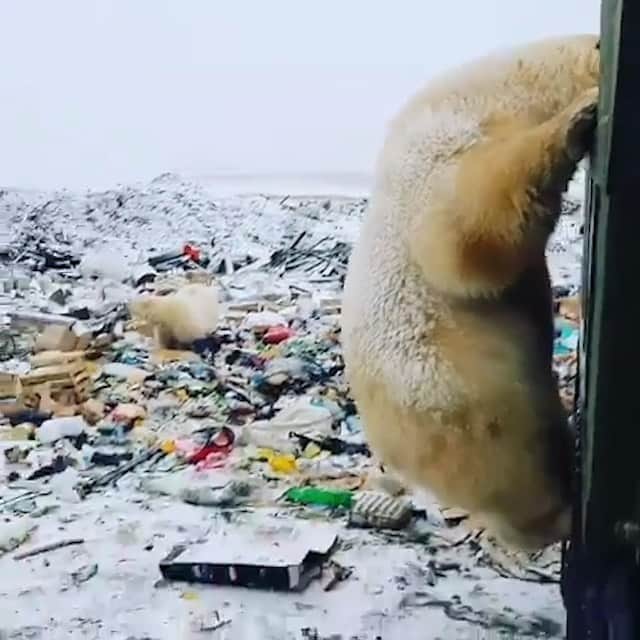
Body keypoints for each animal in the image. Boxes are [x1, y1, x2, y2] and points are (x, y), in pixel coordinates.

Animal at [340, 34, 599, 551]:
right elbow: (465, 227)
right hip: (455, 389)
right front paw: (576, 121)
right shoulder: (446, 137)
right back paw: (553, 514)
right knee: (514, 454)